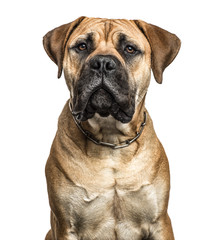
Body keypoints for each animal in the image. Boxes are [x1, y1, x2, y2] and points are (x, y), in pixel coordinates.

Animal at [43, 16, 180, 240]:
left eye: (130, 49)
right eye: (82, 46)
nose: (102, 63)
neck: (110, 140)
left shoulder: (159, 222)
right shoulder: (65, 226)